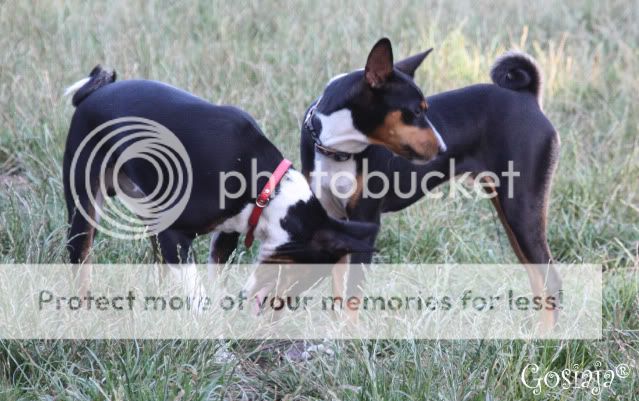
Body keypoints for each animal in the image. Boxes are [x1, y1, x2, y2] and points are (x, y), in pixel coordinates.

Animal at [63, 66, 379, 296]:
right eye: (301, 273)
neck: (268, 189)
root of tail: (92, 94)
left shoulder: (227, 234)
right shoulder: (173, 234)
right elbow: (197, 293)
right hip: (84, 210)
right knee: (80, 263)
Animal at [296, 41, 562, 327]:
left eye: (426, 109)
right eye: (415, 111)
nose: (444, 148)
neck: (336, 150)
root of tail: (527, 98)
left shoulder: (365, 221)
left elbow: (352, 294)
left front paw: (350, 334)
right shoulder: (336, 220)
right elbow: (339, 289)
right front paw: (335, 330)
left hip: (521, 211)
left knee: (551, 279)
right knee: (537, 277)